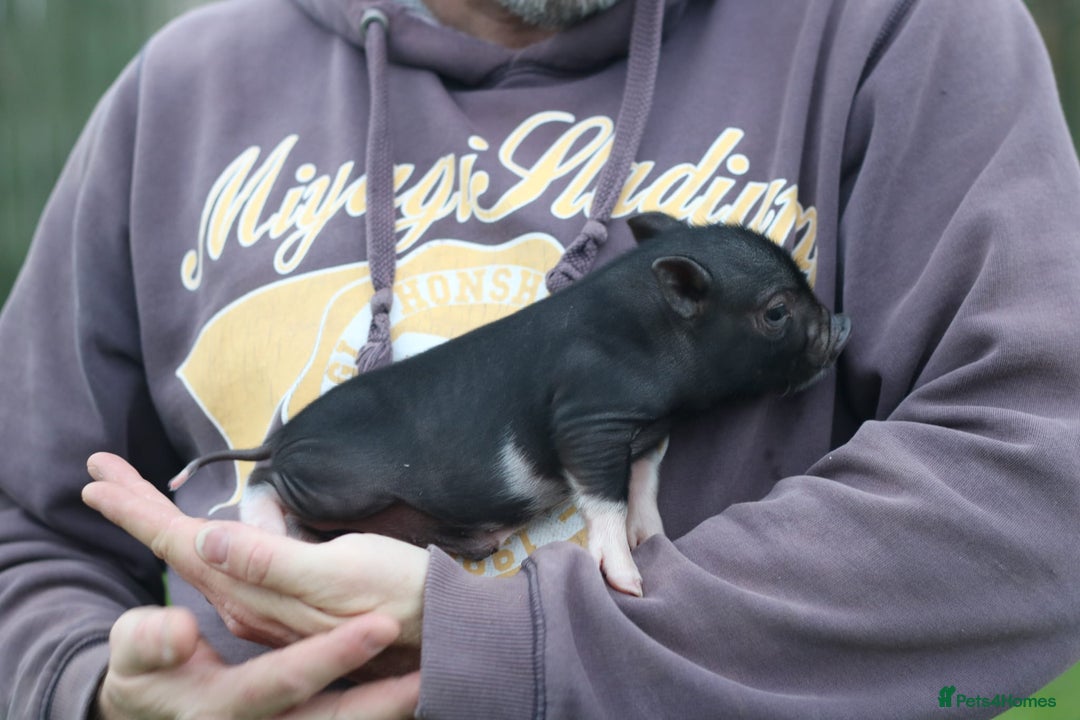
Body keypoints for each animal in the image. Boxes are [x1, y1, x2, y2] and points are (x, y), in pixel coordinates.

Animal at [170, 212, 851, 596]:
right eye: (776, 311)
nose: (841, 324)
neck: (648, 336)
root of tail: (283, 437)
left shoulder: (646, 433)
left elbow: (645, 483)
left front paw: (653, 536)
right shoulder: (586, 421)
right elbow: (603, 500)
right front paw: (629, 583)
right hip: (335, 482)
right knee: (263, 480)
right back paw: (266, 527)